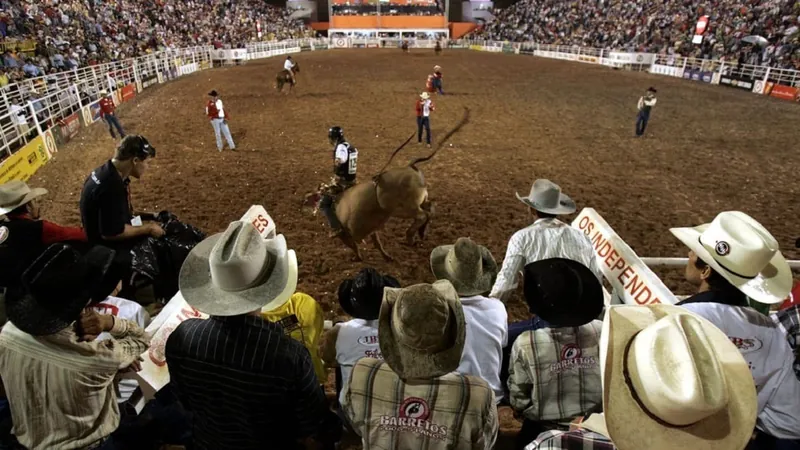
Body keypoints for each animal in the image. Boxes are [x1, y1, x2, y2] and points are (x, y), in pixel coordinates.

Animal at [304, 108, 468, 260]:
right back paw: (420, 233)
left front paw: (357, 257)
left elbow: (354, 245)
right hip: (419, 201)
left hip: (402, 209)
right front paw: (387, 257)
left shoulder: (345, 233)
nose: (303, 202)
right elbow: (376, 242)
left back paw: (410, 236)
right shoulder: (372, 227)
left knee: (422, 215)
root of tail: (410, 166)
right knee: (430, 208)